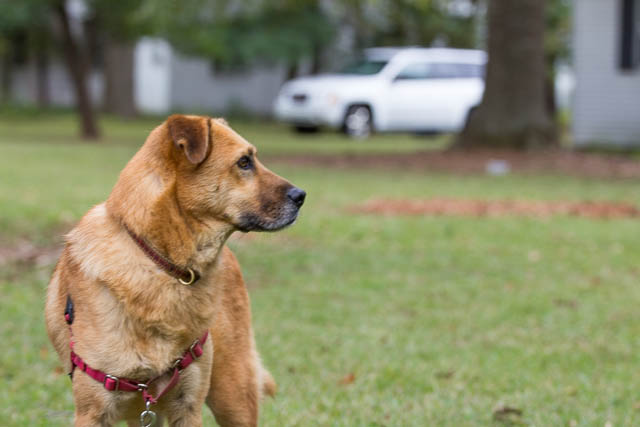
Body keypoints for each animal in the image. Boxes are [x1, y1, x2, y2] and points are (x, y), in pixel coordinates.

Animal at [44, 115, 304, 426]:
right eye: (244, 162)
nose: (301, 195)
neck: (163, 265)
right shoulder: (94, 412)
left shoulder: (188, 406)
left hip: (233, 396)